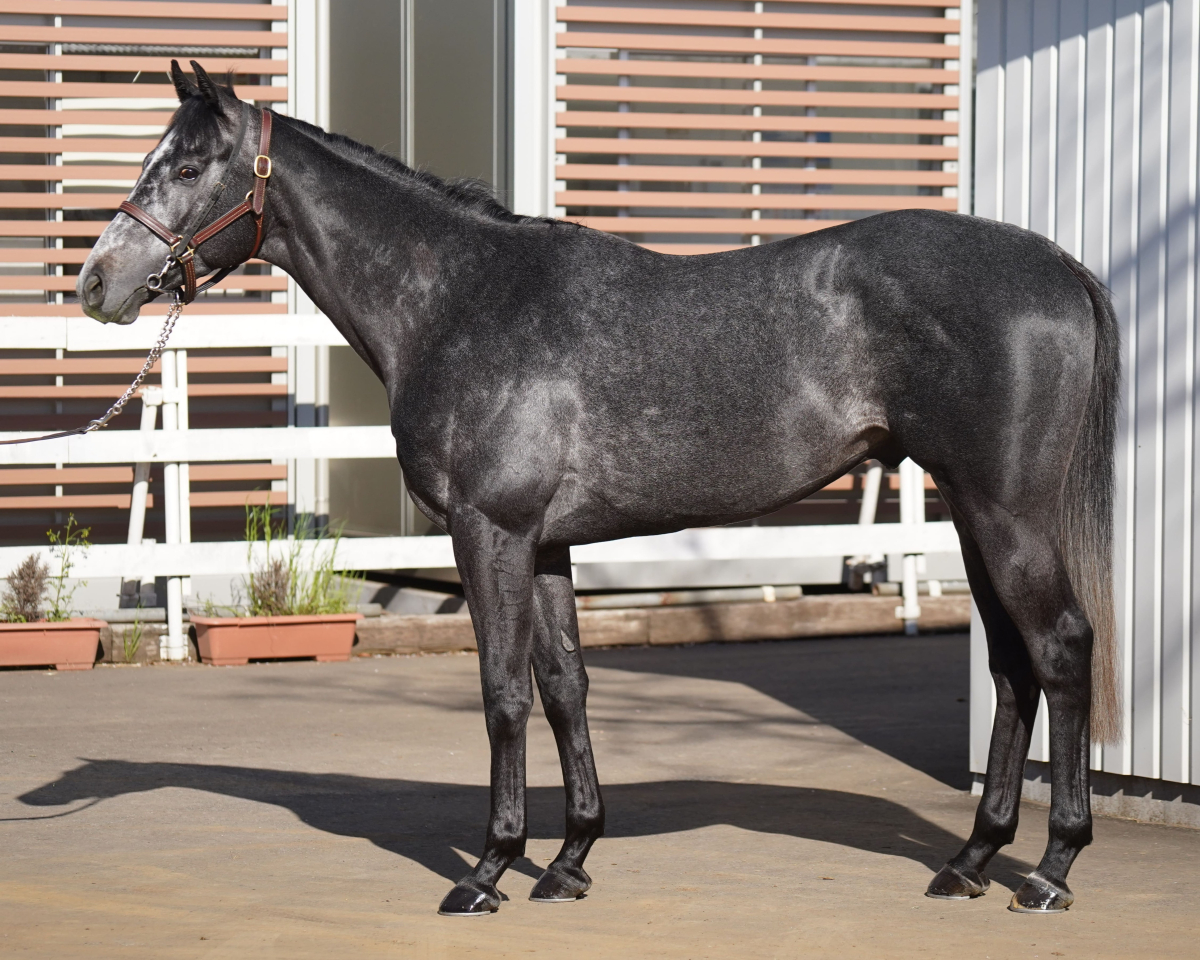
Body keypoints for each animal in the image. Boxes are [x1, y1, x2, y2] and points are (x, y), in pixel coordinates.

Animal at [78, 62, 1121, 917]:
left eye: (185, 167)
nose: (96, 284)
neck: (459, 301)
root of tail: (1057, 266)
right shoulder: (544, 545)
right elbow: (566, 686)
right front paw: (569, 860)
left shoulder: (488, 533)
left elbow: (503, 692)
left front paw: (489, 869)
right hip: (974, 514)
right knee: (1013, 666)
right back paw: (971, 860)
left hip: (1006, 514)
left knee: (1061, 649)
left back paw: (1051, 870)